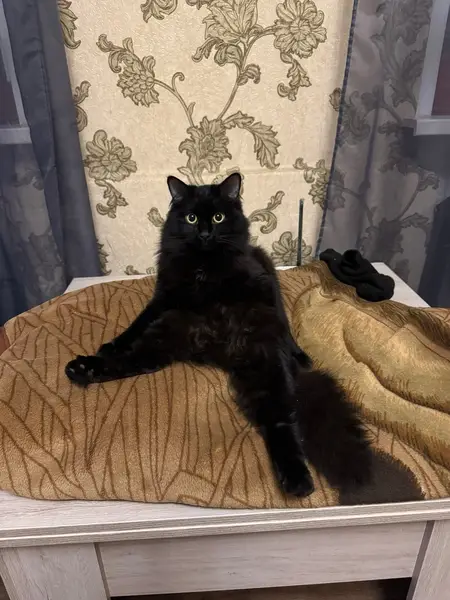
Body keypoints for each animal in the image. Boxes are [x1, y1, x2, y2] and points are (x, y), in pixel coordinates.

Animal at [66, 173, 372, 497]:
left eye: (218, 217)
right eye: (190, 218)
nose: (204, 233)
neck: (202, 264)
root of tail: (220, 355)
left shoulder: (259, 281)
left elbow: (264, 304)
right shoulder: (164, 297)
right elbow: (136, 325)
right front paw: (112, 344)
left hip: (264, 367)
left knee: (281, 420)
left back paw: (297, 478)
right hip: (166, 337)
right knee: (128, 362)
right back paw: (81, 368)